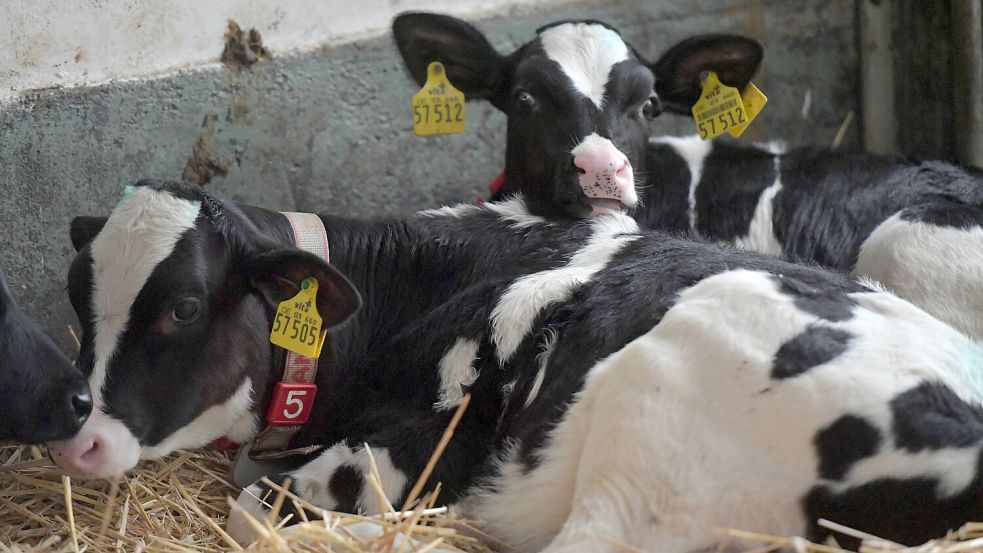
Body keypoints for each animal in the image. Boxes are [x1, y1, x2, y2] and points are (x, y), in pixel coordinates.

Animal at [50, 178, 983, 552]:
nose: (77, 436)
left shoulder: (414, 445)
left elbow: (252, 513)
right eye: (74, 295)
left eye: (181, 307)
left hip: (652, 431)